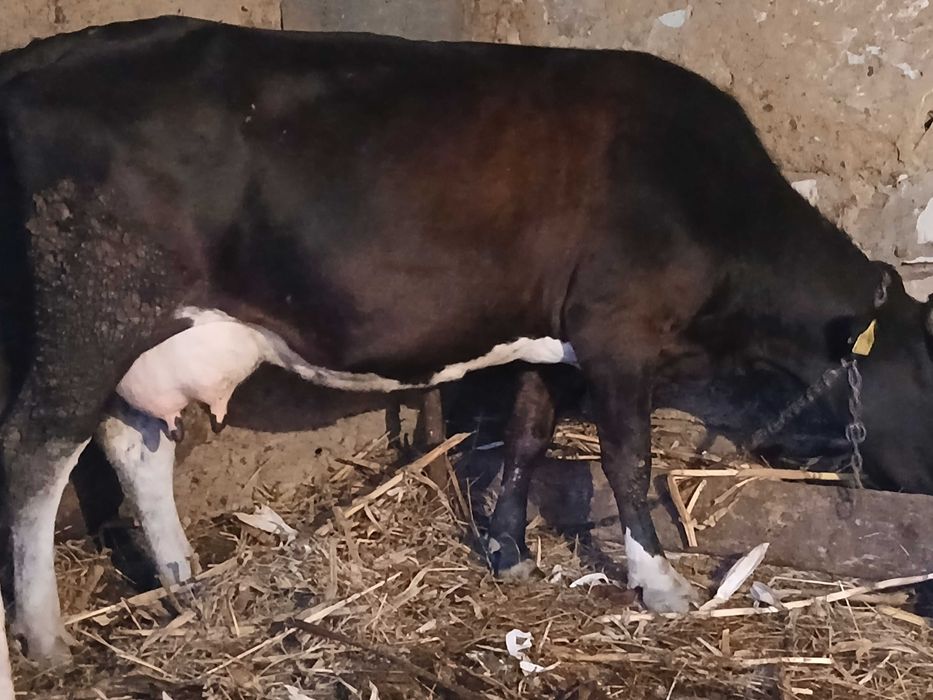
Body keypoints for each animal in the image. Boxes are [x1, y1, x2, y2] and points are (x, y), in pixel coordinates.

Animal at [3, 16, 933, 663]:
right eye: (930, 371)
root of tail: (45, 58)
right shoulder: (618, 334)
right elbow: (626, 459)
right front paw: (659, 583)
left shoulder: (546, 339)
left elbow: (524, 438)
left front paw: (510, 554)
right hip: (91, 309)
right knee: (36, 454)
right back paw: (47, 638)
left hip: (148, 330)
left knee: (134, 441)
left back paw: (184, 585)